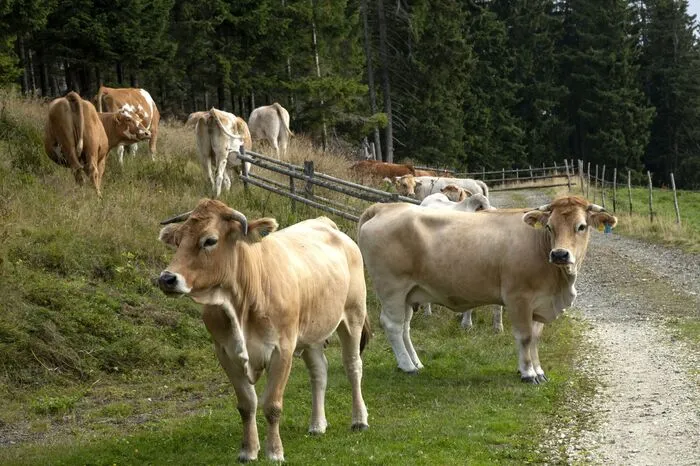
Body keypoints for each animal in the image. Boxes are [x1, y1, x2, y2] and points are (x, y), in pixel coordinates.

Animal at [157, 199, 370, 461]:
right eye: (177, 240)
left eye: (209, 240)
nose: (167, 278)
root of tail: (325, 222)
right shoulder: (225, 353)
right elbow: (247, 405)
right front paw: (248, 450)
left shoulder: (282, 349)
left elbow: (272, 405)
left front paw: (275, 451)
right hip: (311, 332)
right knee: (319, 371)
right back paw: (317, 424)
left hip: (353, 315)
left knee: (353, 366)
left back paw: (359, 419)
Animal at [357, 196, 617, 383]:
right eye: (550, 227)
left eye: (581, 226)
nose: (560, 254)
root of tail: (385, 207)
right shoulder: (518, 298)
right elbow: (525, 337)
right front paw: (528, 373)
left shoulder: (540, 302)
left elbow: (535, 338)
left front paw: (539, 370)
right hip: (391, 287)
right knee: (392, 325)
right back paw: (407, 366)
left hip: (409, 293)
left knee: (404, 327)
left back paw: (416, 362)